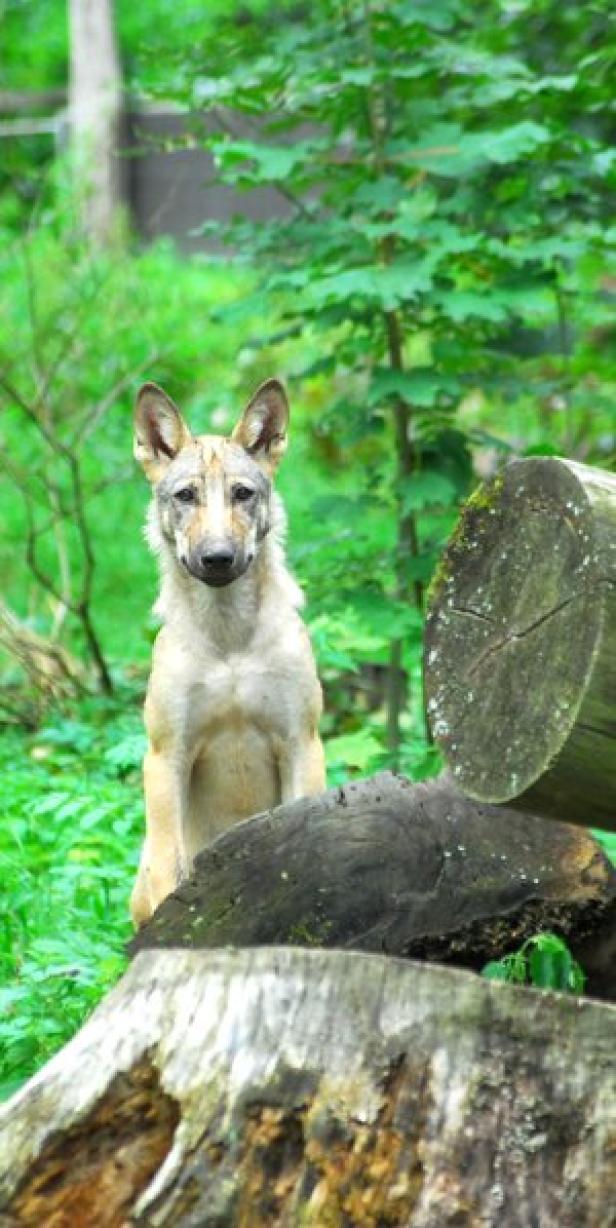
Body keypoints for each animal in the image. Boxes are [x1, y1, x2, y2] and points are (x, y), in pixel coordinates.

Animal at [130, 378, 326, 923]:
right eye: (185, 495)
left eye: (243, 494)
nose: (217, 558)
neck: (229, 643)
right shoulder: (166, 757)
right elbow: (171, 870)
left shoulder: (300, 743)